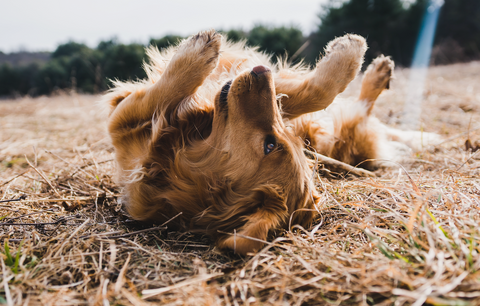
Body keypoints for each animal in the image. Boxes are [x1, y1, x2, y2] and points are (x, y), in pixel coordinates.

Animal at [103, 29, 436, 255]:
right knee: (359, 110)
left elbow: (163, 93)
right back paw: (379, 73)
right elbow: (313, 93)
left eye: (270, 145)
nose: (262, 71)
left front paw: (195, 55)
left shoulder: (122, 124)